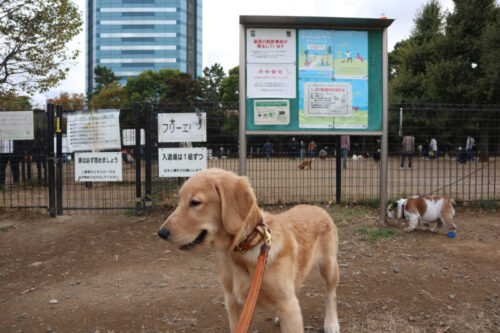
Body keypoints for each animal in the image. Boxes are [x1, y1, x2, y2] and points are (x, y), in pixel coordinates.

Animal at [158, 169, 342, 332]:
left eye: (195, 202)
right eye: (179, 200)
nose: (161, 233)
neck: (244, 249)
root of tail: (317, 207)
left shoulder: (289, 307)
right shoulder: (232, 301)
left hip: (329, 268)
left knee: (331, 295)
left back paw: (331, 323)